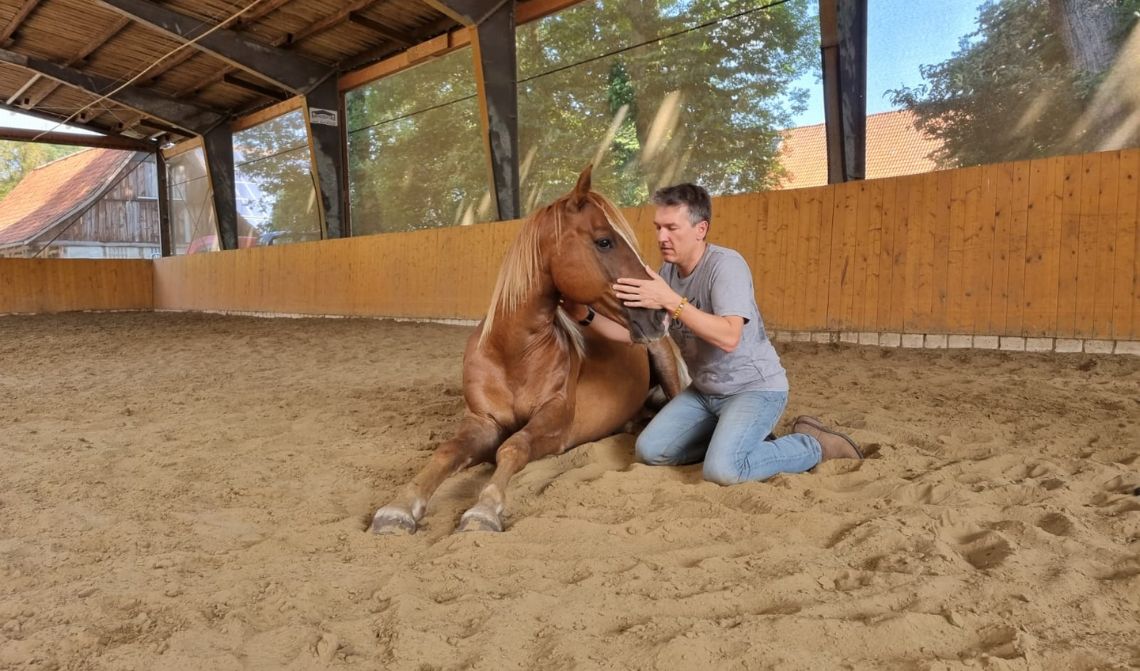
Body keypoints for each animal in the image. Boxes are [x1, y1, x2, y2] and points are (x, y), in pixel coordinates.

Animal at [369, 166, 679, 533]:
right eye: (605, 241)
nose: (659, 314)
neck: (511, 355)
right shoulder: (483, 421)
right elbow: (447, 452)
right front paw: (399, 506)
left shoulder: (554, 420)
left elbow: (514, 447)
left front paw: (484, 509)